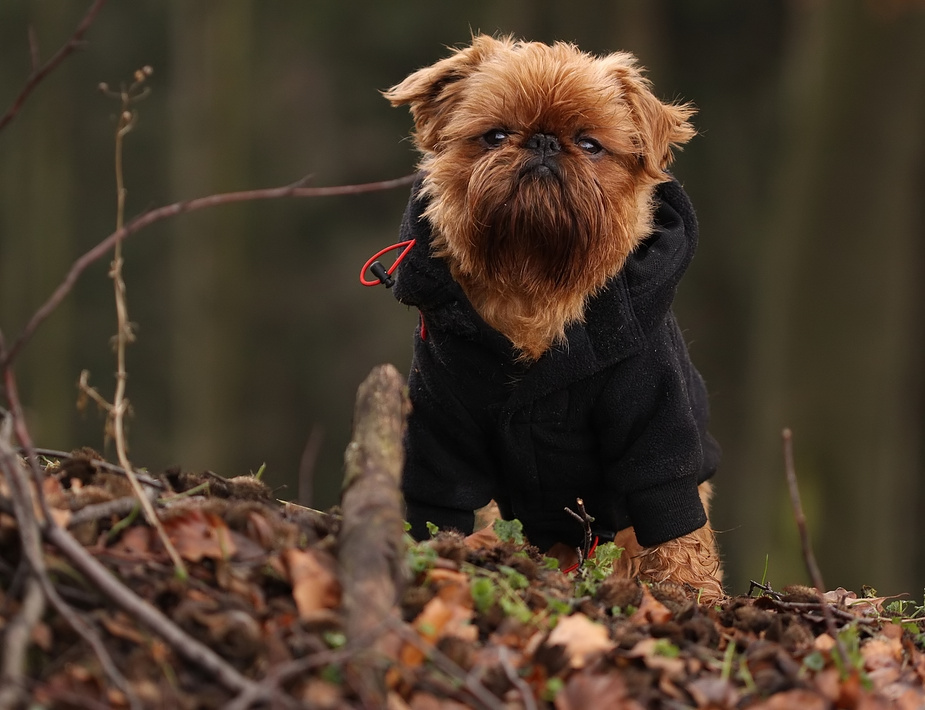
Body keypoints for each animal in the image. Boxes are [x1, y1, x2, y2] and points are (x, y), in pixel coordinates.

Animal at [382, 36, 720, 604]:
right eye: (494, 136)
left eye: (590, 144)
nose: (542, 142)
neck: (534, 283)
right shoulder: (440, 426)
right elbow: (438, 503)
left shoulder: (658, 429)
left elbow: (671, 513)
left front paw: (690, 596)